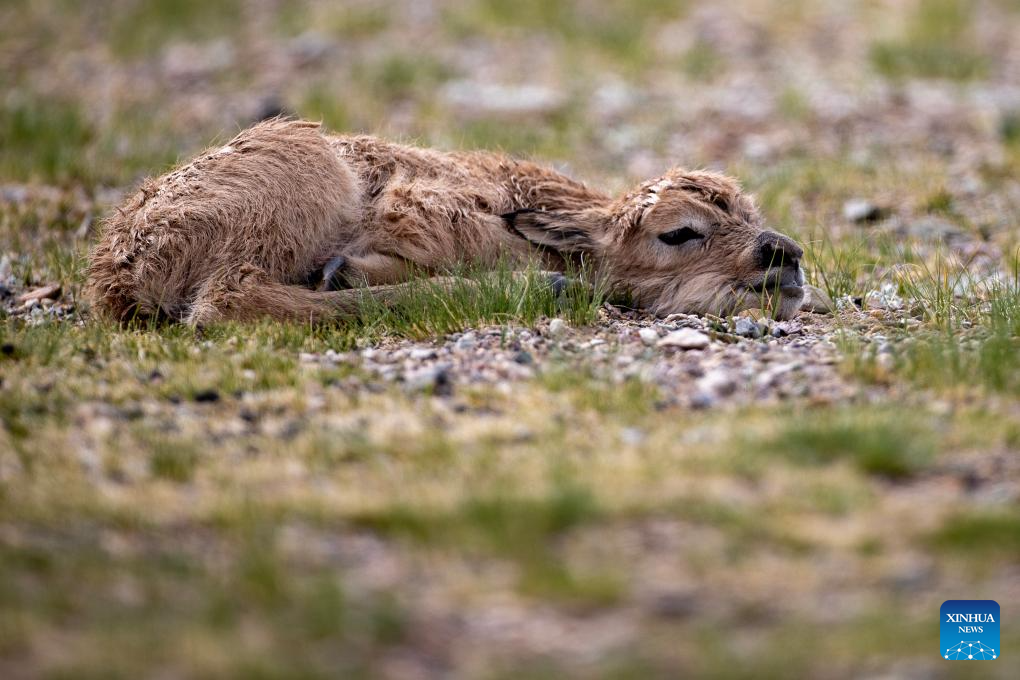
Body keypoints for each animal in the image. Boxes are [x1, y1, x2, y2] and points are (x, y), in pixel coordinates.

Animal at [85, 117, 803, 324]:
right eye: (678, 232)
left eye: (751, 213)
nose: (785, 254)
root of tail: (117, 269)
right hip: (306, 183)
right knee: (226, 299)